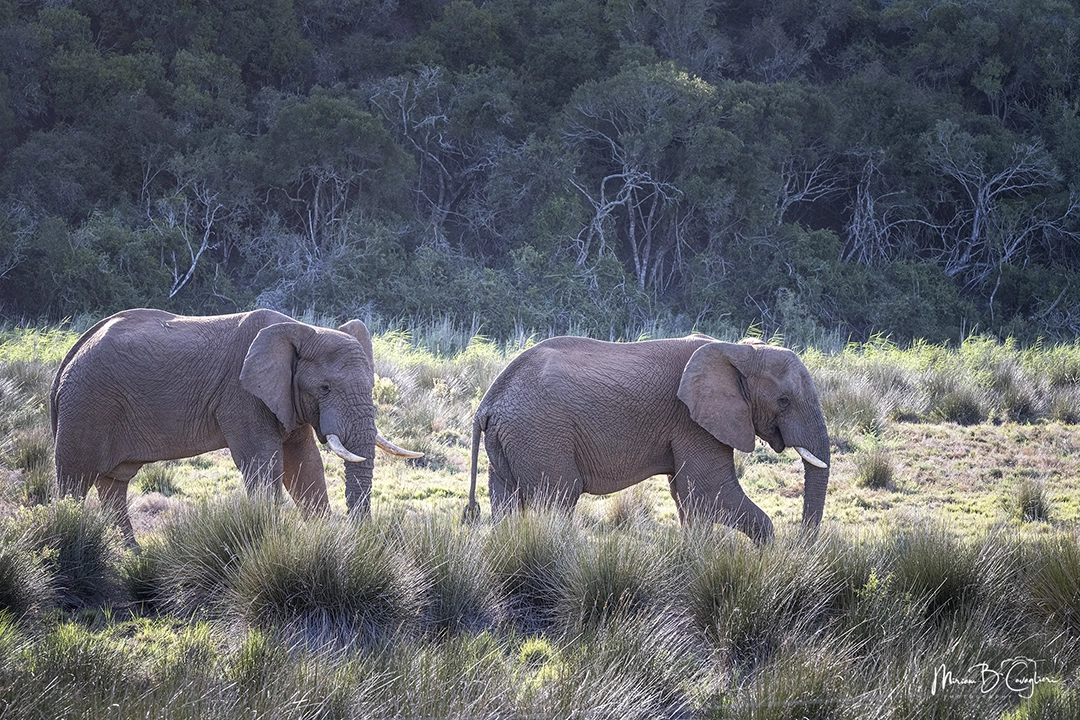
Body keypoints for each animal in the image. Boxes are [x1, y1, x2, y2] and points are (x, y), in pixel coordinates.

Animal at [50, 308, 421, 544]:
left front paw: (325, 542)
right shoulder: (242, 396)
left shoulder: (286, 399)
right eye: (325, 388)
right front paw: (268, 542)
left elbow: (305, 466)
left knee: (114, 484)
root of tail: (71, 353)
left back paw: (131, 554)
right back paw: (68, 537)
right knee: (75, 479)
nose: (361, 540)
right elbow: (265, 464)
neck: (301, 329)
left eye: (372, 386)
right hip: (86, 404)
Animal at [465, 336, 829, 543]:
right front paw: (763, 560)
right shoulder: (691, 420)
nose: (803, 547)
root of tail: (487, 403)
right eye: (784, 401)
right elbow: (709, 489)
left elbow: (687, 494)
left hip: (511, 439)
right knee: (558, 496)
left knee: (507, 499)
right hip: (540, 433)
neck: (740, 350)